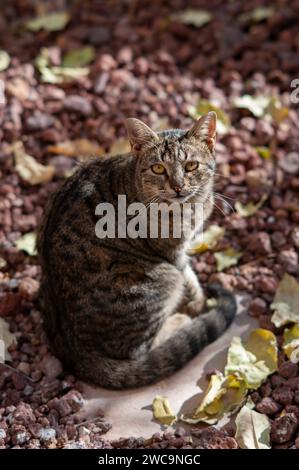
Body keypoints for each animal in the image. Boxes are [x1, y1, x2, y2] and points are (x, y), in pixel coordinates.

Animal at [37, 111, 237, 390]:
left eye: (191, 166)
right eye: (158, 168)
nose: (178, 186)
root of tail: (75, 352)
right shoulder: (173, 254)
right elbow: (189, 277)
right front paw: (199, 302)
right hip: (161, 279)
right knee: (141, 350)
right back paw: (181, 321)